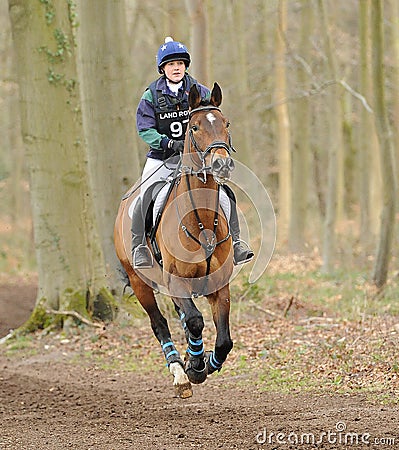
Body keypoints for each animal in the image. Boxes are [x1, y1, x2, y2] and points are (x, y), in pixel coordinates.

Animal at [114, 83, 236, 398]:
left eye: (226, 123)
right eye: (194, 127)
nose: (221, 163)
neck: (201, 221)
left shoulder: (220, 284)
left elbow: (224, 340)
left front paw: (207, 363)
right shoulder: (176, 281)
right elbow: (194, 320)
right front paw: (194, 367)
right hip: (139, 281)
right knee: (159, 323)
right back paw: (179, 372)